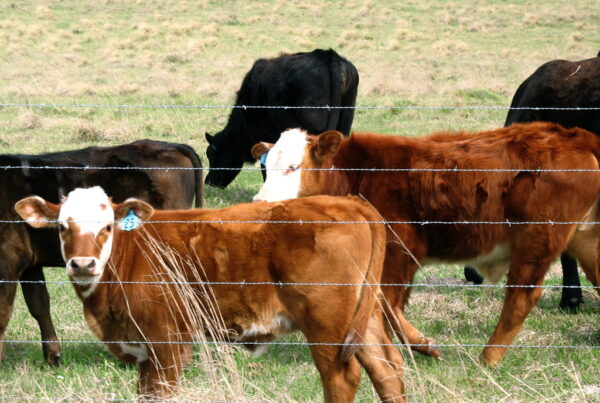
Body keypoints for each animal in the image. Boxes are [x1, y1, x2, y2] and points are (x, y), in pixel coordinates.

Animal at [0, 140, 203, 368]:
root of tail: (169, 145)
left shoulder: (7, 260)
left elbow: (3, 313)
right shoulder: (28, 263)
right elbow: (39, 304)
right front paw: (53, 356)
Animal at [16, 188, 406, 402]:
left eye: (107, 226)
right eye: (62, 226)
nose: (83, 264)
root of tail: (349, 203)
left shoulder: (167, 343)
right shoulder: (144, 351)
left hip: (327, 324)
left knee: (341, 378)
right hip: (364, 320)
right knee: (387, 372)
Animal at [252, 122, 600, 366]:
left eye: (294, 166)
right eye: (266, 167)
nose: (261, 202)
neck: (356, 174)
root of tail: (575, 137)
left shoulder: (400, 251)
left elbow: (386, 303)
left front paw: (421, 346)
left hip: (538, 238)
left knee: (521, 297)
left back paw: (487, 359)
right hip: (586, 239)